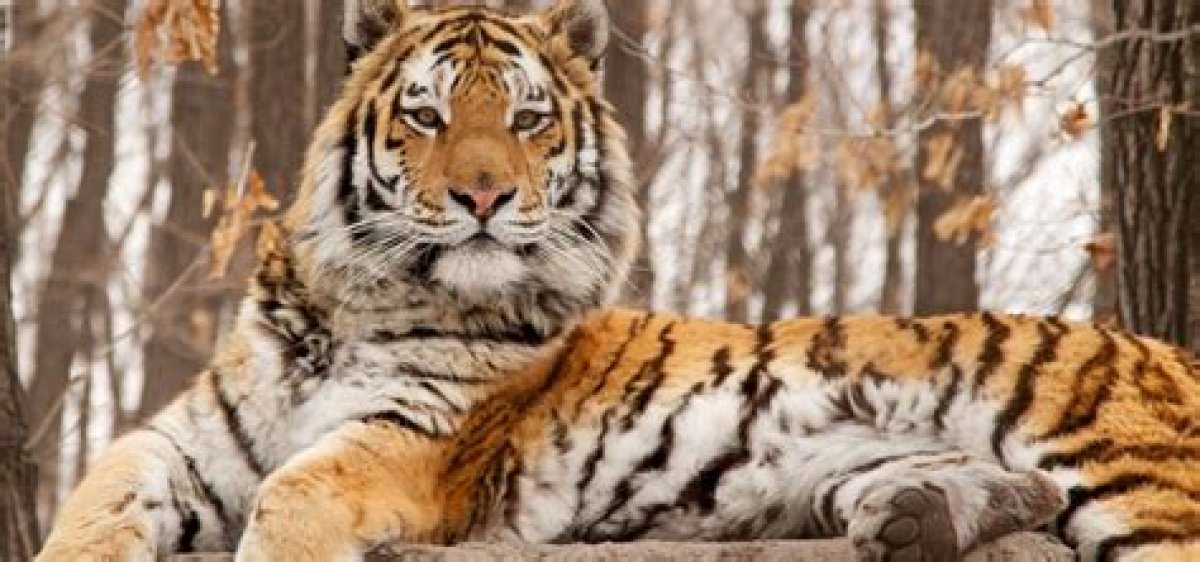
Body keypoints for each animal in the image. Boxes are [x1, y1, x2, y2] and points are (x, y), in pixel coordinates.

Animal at [35, 1, 1200, 561]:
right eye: (426, 115)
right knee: (1005, 494)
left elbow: (291, 498)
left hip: (1134, 478)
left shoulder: (407, 446)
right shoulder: (181, 440)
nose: (485, 196)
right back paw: (913, 523)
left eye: (526, 118)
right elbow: (94, 500)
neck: (350, 305)